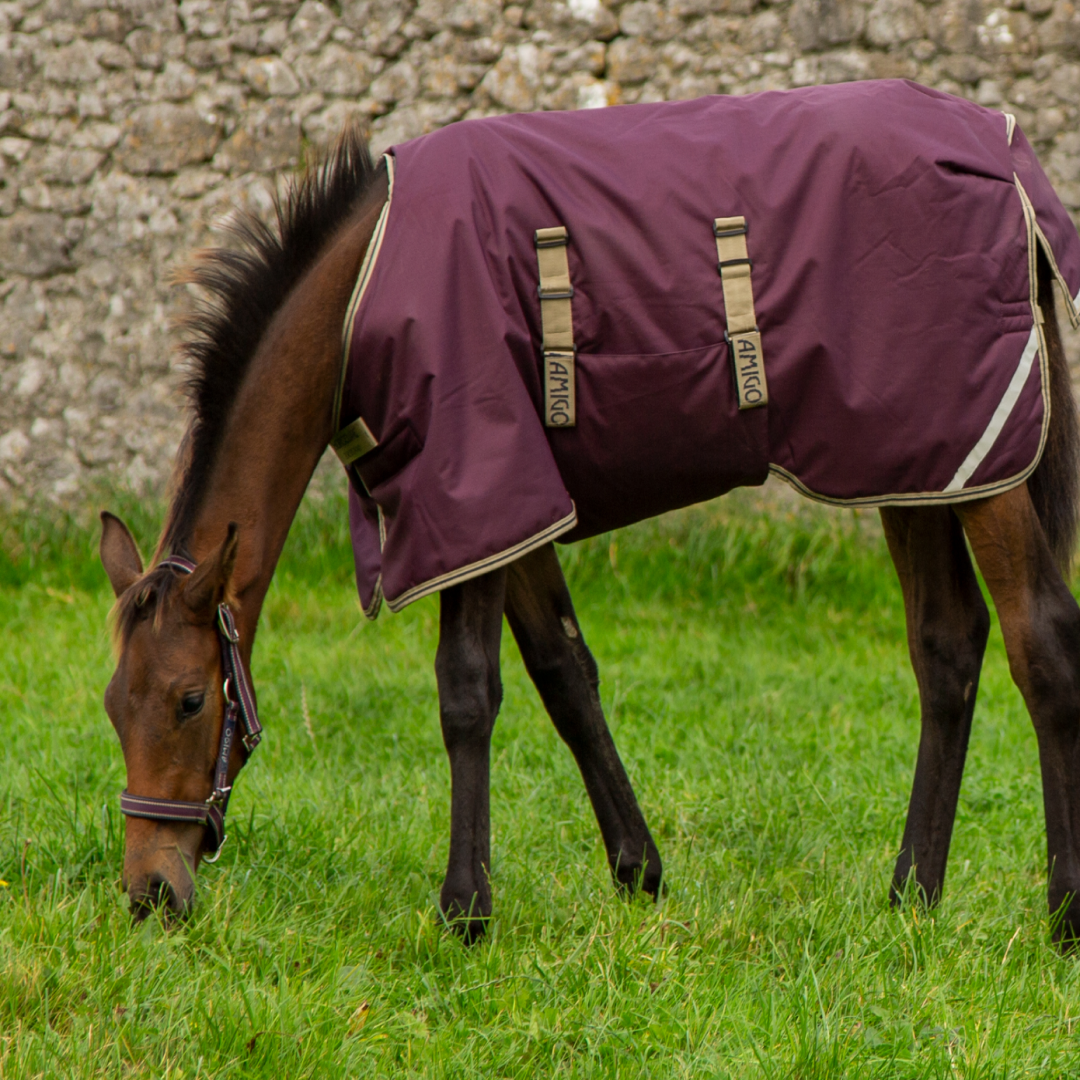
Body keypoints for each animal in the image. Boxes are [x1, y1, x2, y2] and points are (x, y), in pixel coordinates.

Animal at [99, 82, 1080, 946]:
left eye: (191, 700)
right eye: (113, 704)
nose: (151, 892)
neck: (361, 294)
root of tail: (1001, 155)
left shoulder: (472, 486)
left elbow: (467, 691)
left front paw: (466, 911)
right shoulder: (512, 508)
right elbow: (564, 673)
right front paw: (637, 872)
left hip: (979, 467)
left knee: (1040, 641)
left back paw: (1061, 915)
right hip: (919, 467)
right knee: (947, 645)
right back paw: (912, 895)